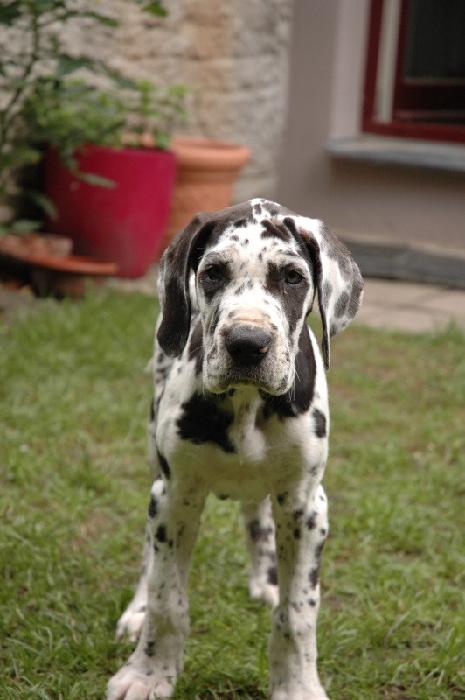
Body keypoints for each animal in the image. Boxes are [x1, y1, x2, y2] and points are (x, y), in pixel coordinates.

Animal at [107, 199, 364, 700]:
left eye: (292, 277)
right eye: (213, 273)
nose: (248, 343)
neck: (246, 403)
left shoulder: (307, 506)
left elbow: (298, 613)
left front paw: (297, 685)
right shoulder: (176, 496)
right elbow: (168, 600)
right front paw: (148, 673)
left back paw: (265, 579)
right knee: (150, 553)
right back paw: (137, 610)